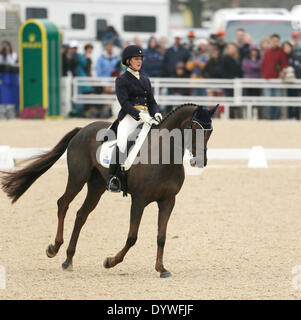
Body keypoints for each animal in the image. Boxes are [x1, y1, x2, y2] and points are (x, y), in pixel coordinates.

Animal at [0, 103, 216, 278]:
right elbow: (132, 237)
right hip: (77, 178)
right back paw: (54, 248)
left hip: (96, 186)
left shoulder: (168, 200)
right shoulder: (139, 200)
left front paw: (161, 269)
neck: (162, 156)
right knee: (63, 204)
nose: (199, 161)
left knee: (81, 215)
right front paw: (110, 262)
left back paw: (68, 260)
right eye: (194, 128)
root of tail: (82, 129)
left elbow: (161, 237)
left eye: (210, 131)